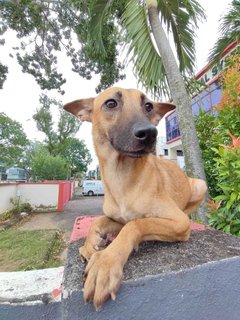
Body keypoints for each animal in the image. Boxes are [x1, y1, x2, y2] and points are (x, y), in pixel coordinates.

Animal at [64, 87, 207, 310]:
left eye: (148, 106)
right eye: (111, 103)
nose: (149, 133)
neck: (122, 177)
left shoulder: (179, 222)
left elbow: (136, 225)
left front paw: (106, 260)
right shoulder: (116, 217)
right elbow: (99, 221)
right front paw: (90, 243)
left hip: (200, 185)